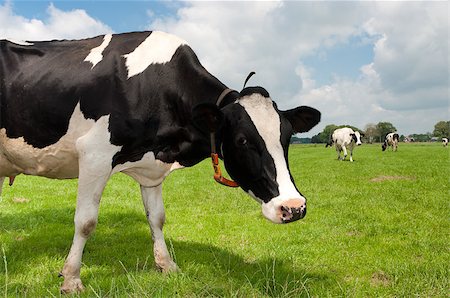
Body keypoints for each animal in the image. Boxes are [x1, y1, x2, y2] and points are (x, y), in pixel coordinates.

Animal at [0, 30, 324, 294]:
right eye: (242, 140)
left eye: (287, 137)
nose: (294, 207)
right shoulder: (94, 153)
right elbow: (86, 221)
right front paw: (71, 278)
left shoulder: (151, 168)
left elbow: (156, 217)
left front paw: (167, 265)